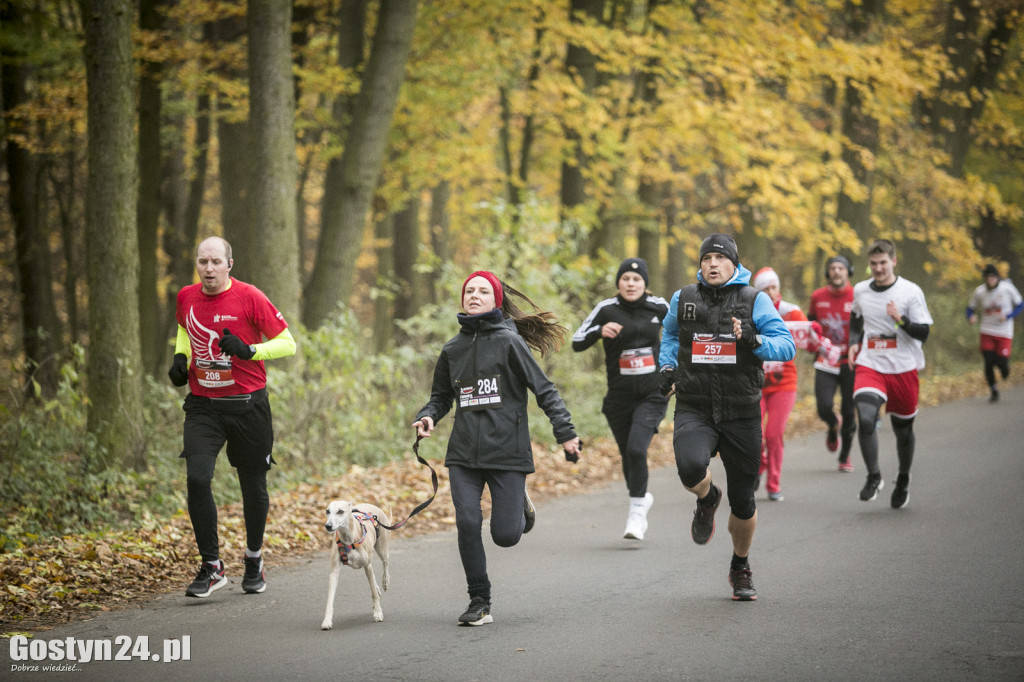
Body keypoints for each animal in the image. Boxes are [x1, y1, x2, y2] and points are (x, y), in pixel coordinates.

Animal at [321, 497, 393, 630]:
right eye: (327, 511)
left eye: (340, 511)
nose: (328, 526)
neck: (349, 539)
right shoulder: (334, 572)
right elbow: (330, 600)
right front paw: (327, 621)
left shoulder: (367, 565)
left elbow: (373, 594)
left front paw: (378, 613)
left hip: (382, 550)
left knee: (385, 563)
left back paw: (385, 582)